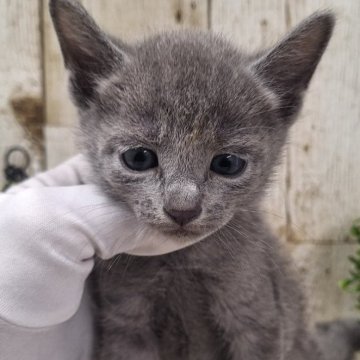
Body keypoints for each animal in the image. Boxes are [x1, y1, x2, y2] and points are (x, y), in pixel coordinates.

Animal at [50, 0, 360, 360]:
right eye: (138, 158)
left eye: (228, 163)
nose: (182, 208)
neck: (182, 262)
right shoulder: (124, 323)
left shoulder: (259, 319)